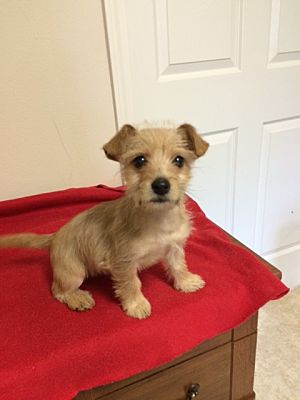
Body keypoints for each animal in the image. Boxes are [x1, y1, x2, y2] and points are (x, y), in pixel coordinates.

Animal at [0, 122, 209, 318]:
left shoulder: (175, 247)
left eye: (179, 160)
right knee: (57, 290)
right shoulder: (124, 261)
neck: (158, 217)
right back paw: (78, 298)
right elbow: (131, 283)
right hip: (73, 272)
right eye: (139, 160)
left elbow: (178, 266)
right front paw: (136, 305)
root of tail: (55, 236)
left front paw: (186, 282)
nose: (161, 185)